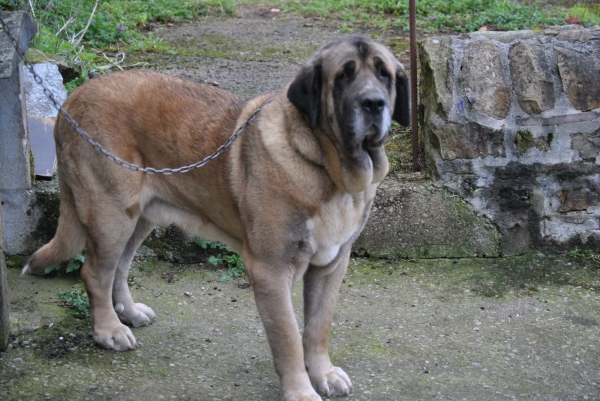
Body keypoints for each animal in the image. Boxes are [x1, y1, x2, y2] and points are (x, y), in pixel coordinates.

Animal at [23, 36, 408, 398]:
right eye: (343, 75)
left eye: (384, 74)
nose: (374, 103)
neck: (329, 169)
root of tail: (71, 100)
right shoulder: (271, 270)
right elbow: (287, 340)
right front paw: (301, 391)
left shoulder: (331, 265)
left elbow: (317, 327)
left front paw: (324, 374)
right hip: (111, 214)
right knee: (95, 273)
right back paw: (108, 331)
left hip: (139, 218)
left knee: (119, 266)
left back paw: (128, 313)